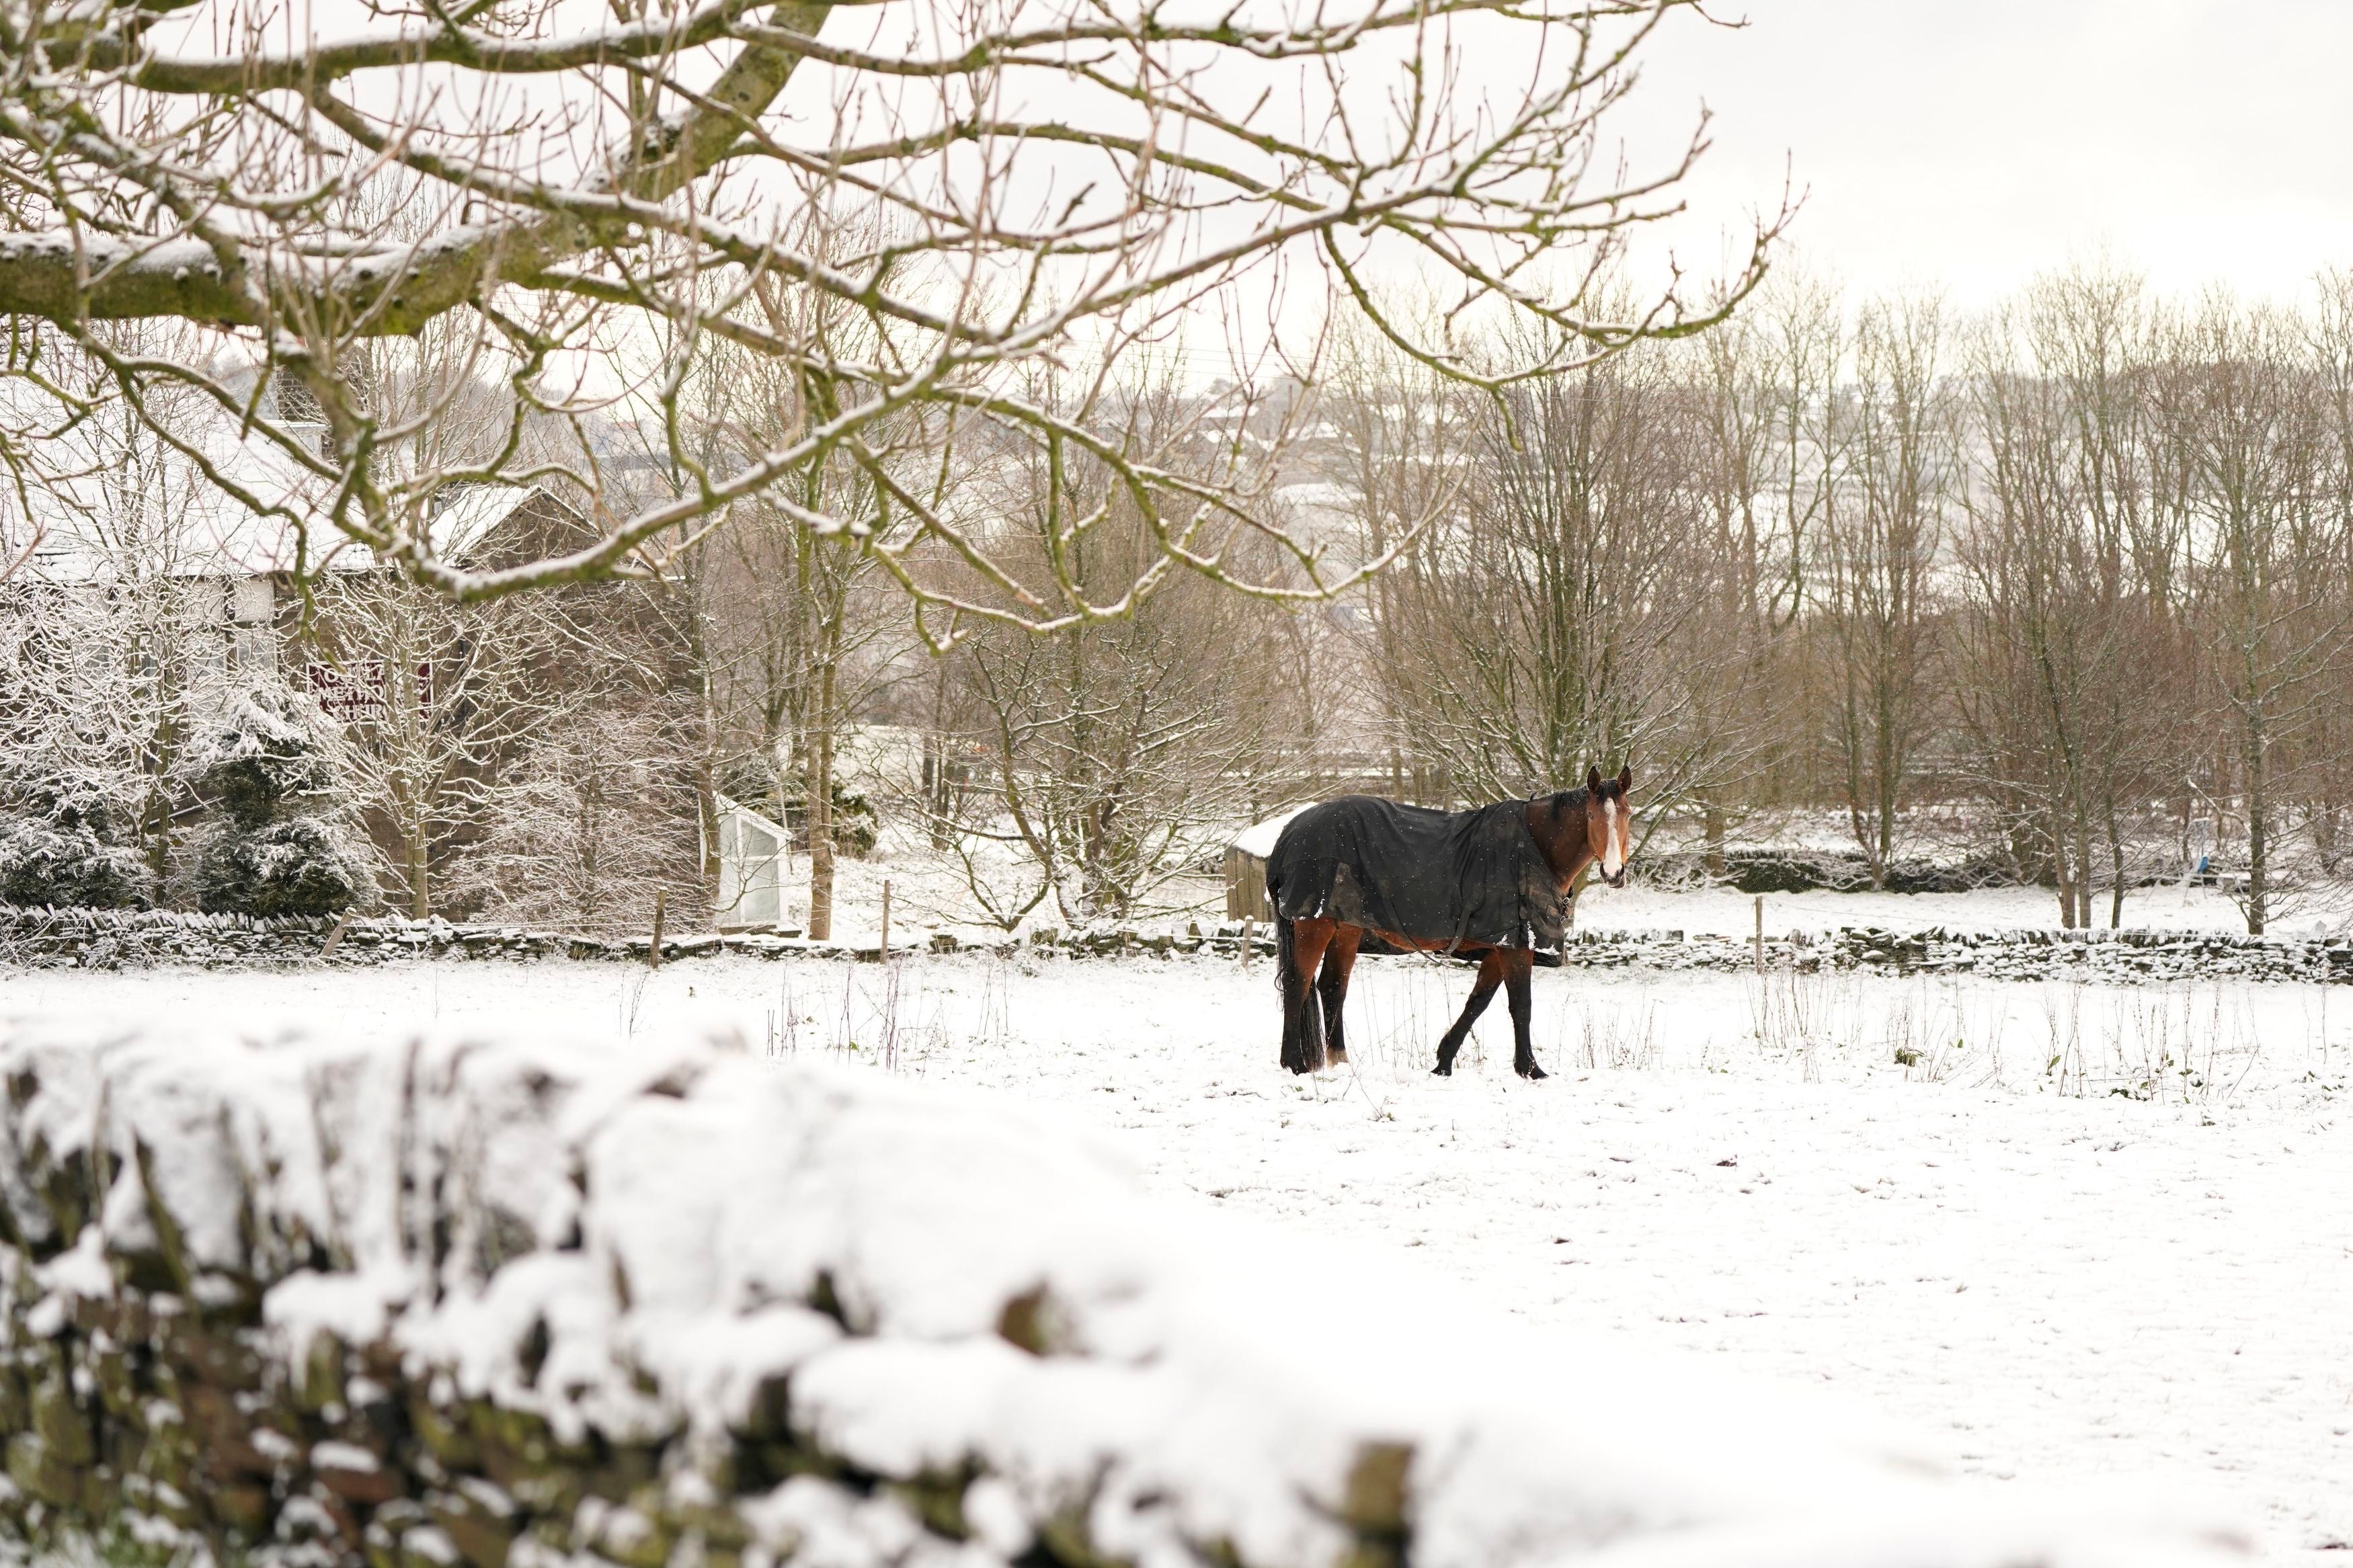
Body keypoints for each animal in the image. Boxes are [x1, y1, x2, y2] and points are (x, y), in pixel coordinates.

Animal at [1271, 766, 1638, 1085]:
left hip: (1346, 929)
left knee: (1333, 987)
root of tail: (1291, 830)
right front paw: (1531, 1069)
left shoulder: (1499, 948)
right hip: (1314, 925)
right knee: (1297, 983)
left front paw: (1443, 1062)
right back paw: (1294, 1064)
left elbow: (1477, 1004)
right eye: (1591, 816)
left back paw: (1341, 1063)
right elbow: (1521, 1006)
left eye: (1628, 814)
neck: (1533, 847)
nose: (1613, 872)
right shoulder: (1517, 947)